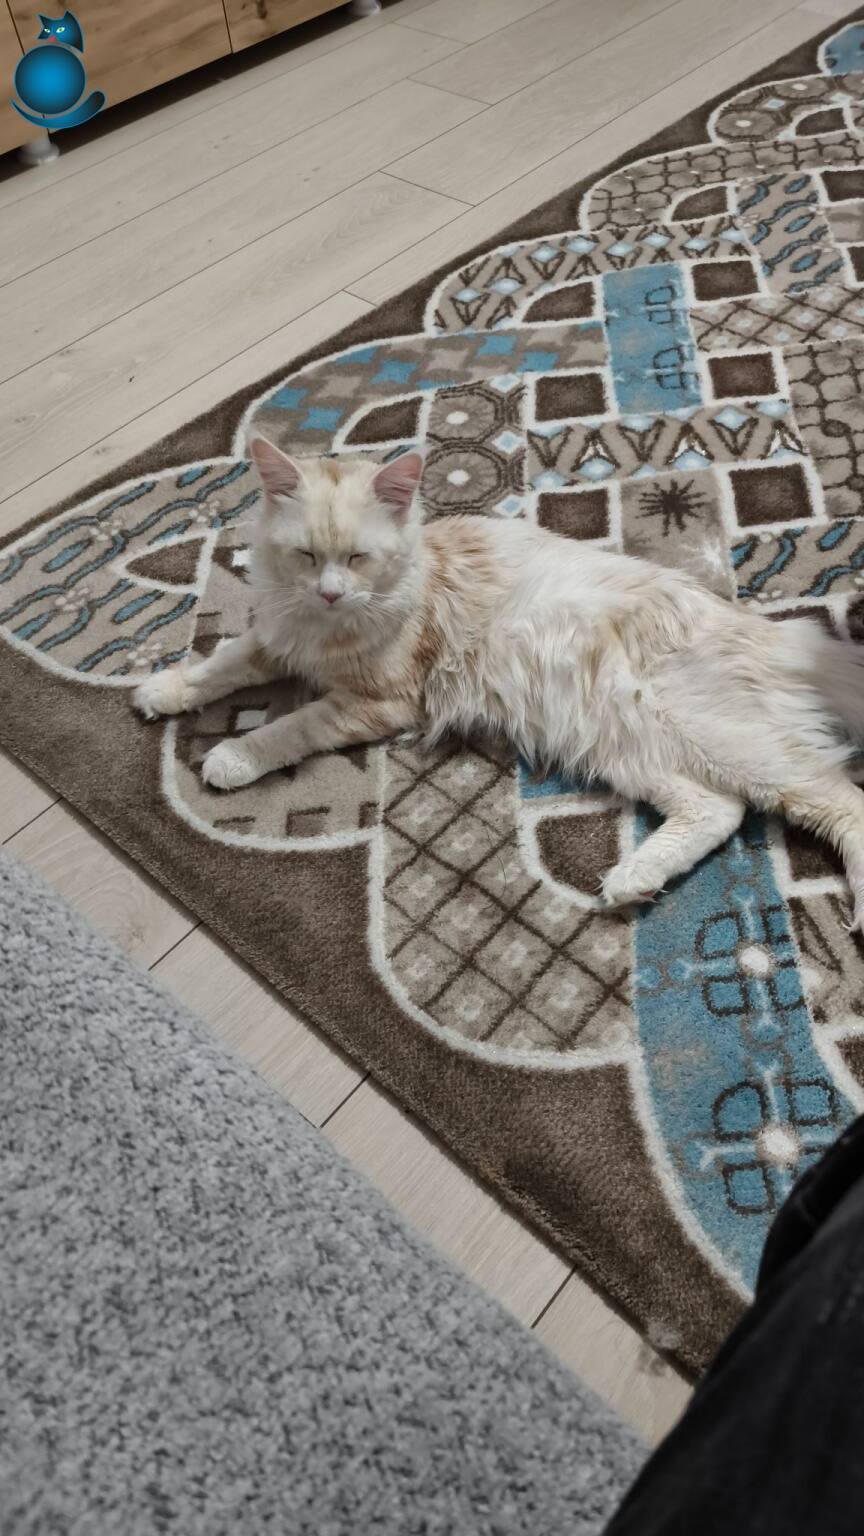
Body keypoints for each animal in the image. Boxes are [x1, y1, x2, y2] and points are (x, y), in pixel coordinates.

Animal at [134, 438, 864, 928]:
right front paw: (161, 690)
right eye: (306, 556)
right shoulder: (275, 639)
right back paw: (631, 880)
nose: (332, 592)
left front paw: (230, 756)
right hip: (627, 744)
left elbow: (288, 727)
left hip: (714, 735)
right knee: (718, 810)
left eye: (358, 558)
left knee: (839, 799)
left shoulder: (378, 701)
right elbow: (219, 664)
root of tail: (769, 631)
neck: (324, 628)